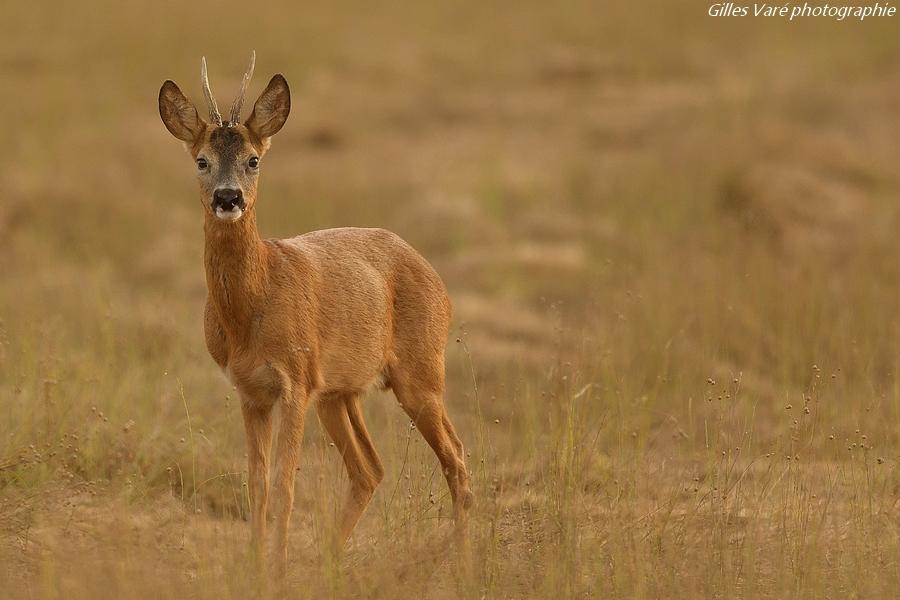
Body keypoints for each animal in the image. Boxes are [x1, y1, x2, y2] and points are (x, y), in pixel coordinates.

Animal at [158, 54, 474, 564]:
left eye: (253, 160)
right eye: (201, 161)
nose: (228, 197)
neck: (251, 310)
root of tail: (438, 281)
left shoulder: (296, 381)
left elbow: (285, 487)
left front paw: (277, 567)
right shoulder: (251, 391)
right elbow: (257, 486)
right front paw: (256, 564)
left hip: (421, 373)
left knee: (457, 457)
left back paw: (459, 560)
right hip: (341, 393)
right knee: (371, 468)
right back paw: (330, 557)